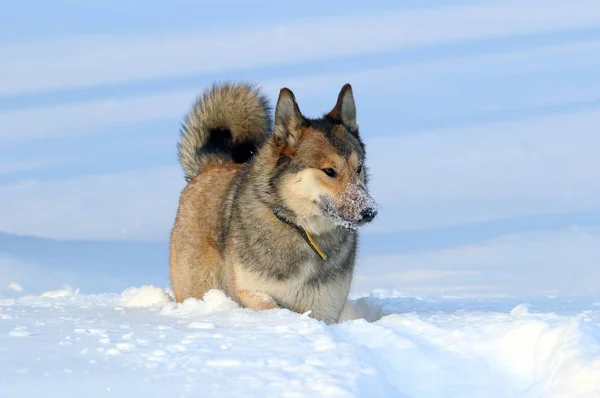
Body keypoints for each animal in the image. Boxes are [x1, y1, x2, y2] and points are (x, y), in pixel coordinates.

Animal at [169, 81, 376, 324]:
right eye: (329, 171)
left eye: (358, 168)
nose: (369, 211)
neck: (303, 231)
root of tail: (212, 164)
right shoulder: (251, 291)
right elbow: (271, 307)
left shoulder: (325, 308)